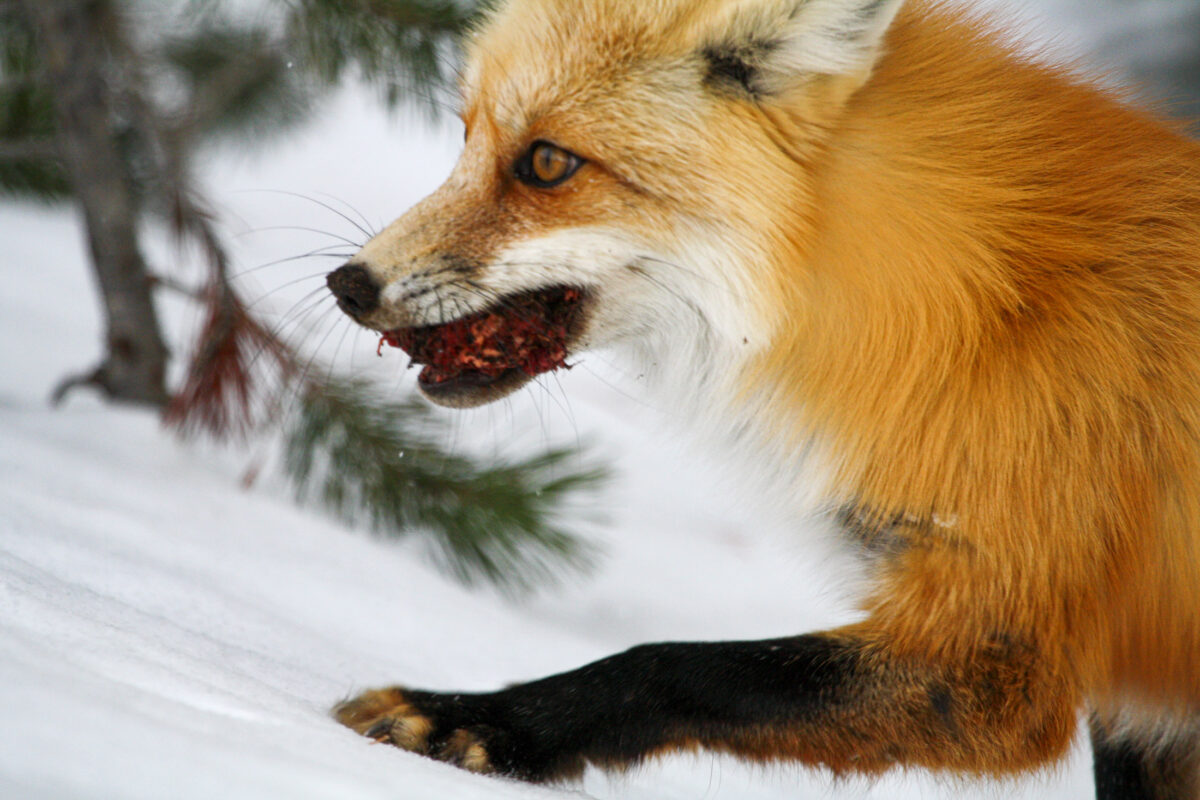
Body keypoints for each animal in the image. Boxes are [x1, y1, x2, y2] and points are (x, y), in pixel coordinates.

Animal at [323, 0, 1200, 797]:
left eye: (545, 163)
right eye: (466, 137)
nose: (346, 285)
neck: (981, 310)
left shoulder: (998, 651)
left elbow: (668, 665)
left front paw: (480, 722)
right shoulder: (1127, 706)